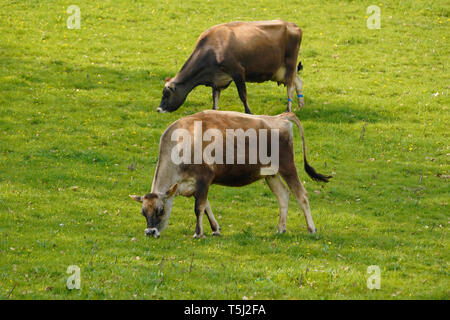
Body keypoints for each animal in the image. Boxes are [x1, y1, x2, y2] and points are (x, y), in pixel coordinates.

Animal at [130, 110, 330, 238]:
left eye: (161, 210)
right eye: (143, 212)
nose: (150, 232)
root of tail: (280, 118)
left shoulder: (204, 179)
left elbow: (199, 207)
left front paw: (198, 233)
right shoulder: (194, 185)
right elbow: (207, 206)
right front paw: (215, 229)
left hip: (287, 166)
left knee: (301, 194)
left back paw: (311, 229)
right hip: (270, 174)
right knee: (283, 195)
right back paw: (281, 229)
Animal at [157, 20, 306, 115]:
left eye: (166, 94)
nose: (159, 109)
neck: (213, 48)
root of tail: (292, 25)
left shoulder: (238, 72)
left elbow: (243, 95)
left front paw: (249, 112)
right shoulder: (217, 79)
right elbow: (215, 99)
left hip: (290, 64)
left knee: (290, 87)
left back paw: (288, 109)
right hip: (283, 70)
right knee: (298, 82)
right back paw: (300, 106)